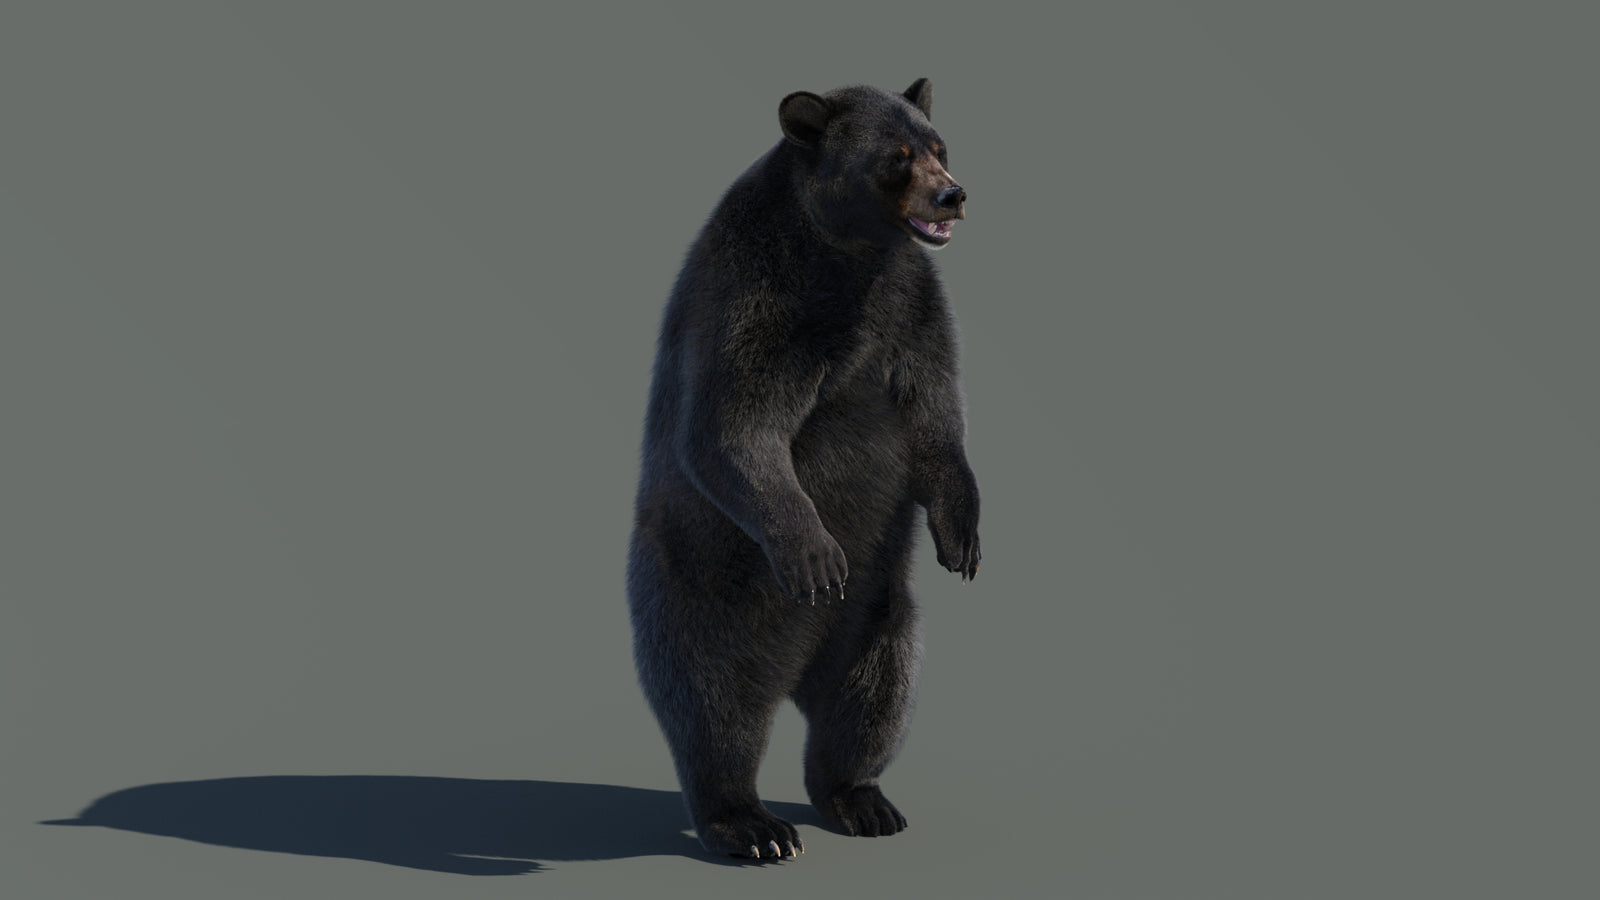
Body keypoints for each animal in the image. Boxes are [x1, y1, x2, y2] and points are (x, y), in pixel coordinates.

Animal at [626, 78, 981, 860]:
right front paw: (816, 554)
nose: (953, 194)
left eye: (940, 145)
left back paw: (862, 800)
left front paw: (962, 539)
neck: (848, 253)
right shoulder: (761, 296)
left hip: (879, 615)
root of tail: (794, 673)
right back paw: (751, 825)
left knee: (875, 694)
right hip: (701, 592)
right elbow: (733, 426)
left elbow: (936, 414)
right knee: (714, 705)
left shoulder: (910, 306)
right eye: (896, 156)